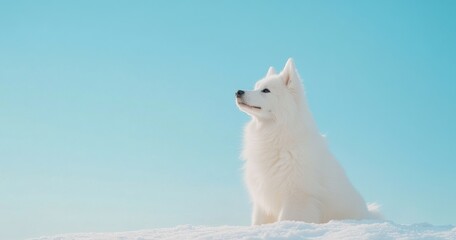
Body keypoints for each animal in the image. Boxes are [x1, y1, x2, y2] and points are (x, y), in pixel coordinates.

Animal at [235, 58, 382, 225]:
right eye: (256, 87)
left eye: (265, 90)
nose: (238, 91)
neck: (278, 134)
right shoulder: (263, 201)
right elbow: (258, 222)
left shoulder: (297, 197)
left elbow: (288, 219)